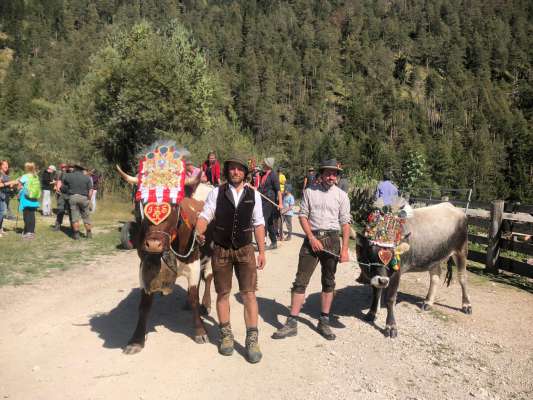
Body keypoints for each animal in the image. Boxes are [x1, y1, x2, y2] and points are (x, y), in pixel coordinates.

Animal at [356, 203, 472, 338]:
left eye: (393, 256)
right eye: (370, 253)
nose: (383, 281)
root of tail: (454, 208)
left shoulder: (396, 273)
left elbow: (390, 299)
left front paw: (391, 326)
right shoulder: (375, 276)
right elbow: (376, 293)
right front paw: (372, 313)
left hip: (461, 250)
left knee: (462, 278)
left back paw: (466, 305)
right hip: (434, 257)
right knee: (435, 276)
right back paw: (428, 302)